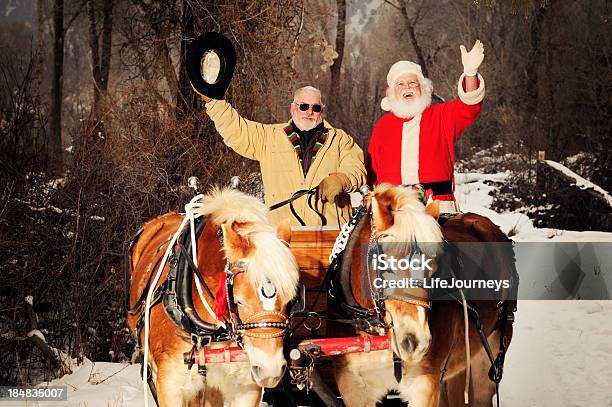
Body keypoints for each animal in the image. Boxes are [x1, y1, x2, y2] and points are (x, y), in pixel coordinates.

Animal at [330, 186, 516, 407]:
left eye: (434, 269)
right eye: (386, 265)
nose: (416, 343)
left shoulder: (425, 384)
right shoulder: (353, 386)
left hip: (488, 354)